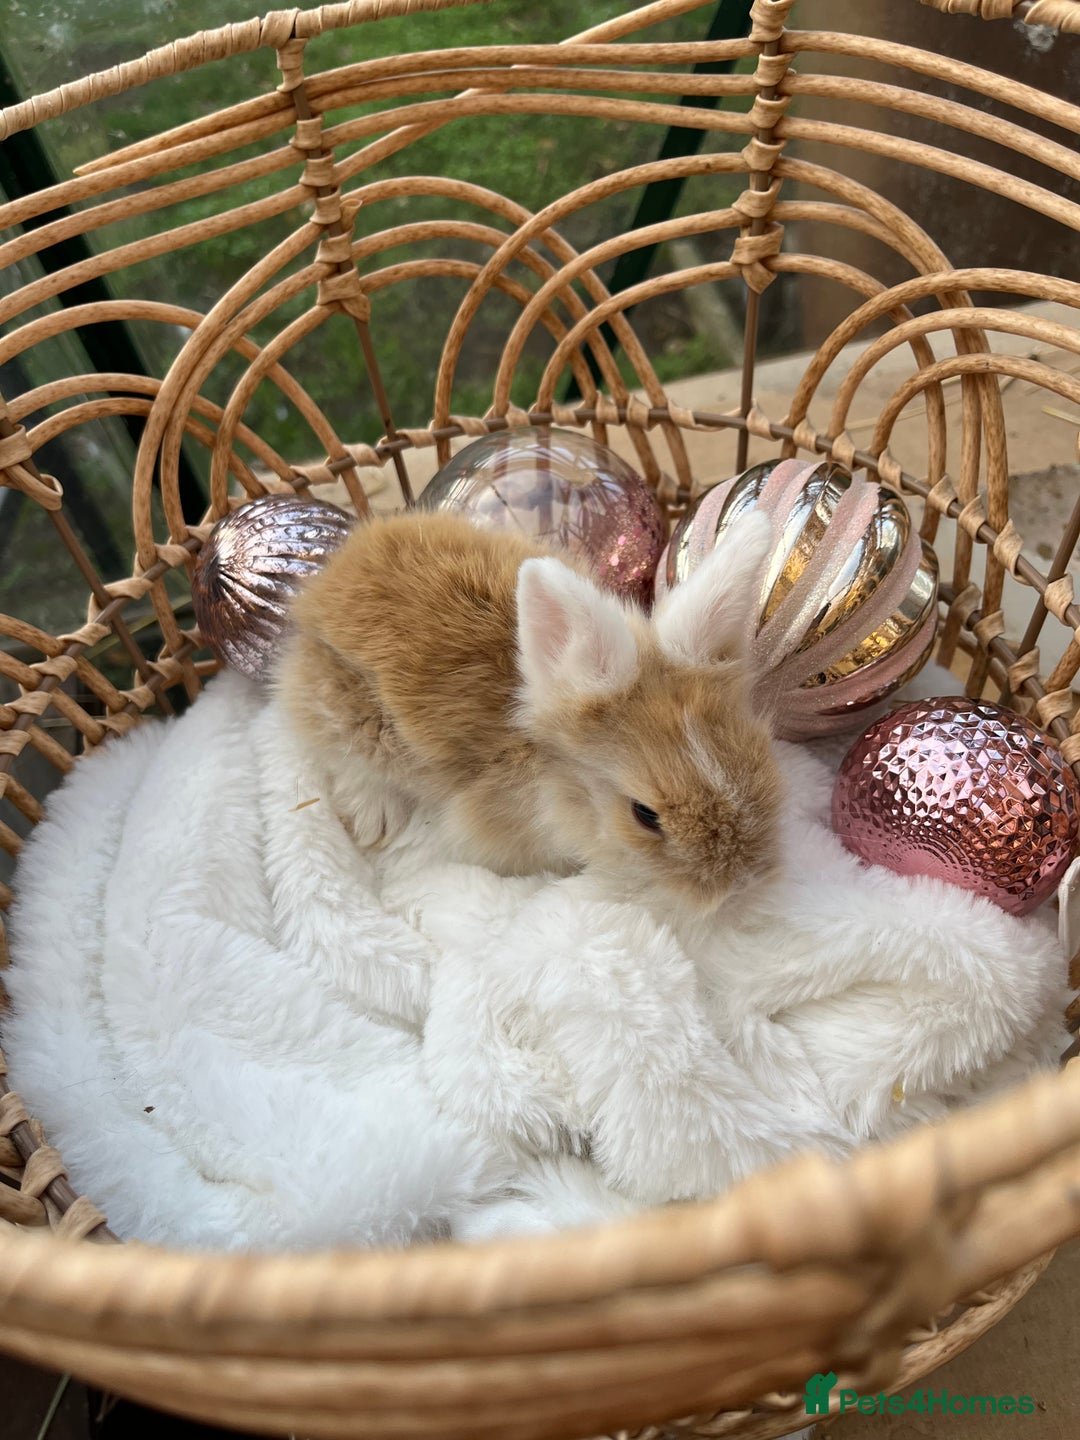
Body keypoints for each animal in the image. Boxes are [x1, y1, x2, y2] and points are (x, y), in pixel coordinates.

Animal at [275, 505, 782, 914]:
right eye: (644, 814)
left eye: (762, 754)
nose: (739, 885)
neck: (549, 776)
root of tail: (328, 583)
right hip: (352, 716)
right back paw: (374, 818)